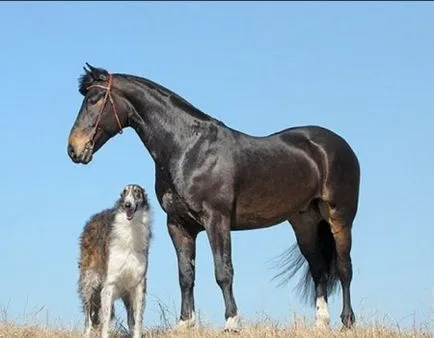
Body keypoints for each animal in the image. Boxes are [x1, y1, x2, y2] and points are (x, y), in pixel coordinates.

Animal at [77, 185, 152, 338]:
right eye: (124, 193)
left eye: (137, 192)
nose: (127, 205)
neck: (130, 232)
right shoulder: (109, 283)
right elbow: (105, 320)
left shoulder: (138, 283)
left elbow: (137, 319)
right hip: (89, 281)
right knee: (88, 316)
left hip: (126, 292)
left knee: (130, 318)